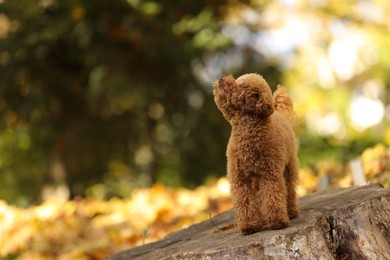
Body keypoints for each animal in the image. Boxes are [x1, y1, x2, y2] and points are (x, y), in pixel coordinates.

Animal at [213, 73, 298, 236]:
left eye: (241, 85)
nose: (221, 79)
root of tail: (279, 112)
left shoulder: (270, 175)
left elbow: (273, 196)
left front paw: (277, 221)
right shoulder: (240, 179)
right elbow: (245, 201)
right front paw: (250, 226)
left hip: (289, 168)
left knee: (289, 190)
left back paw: (291, 212)